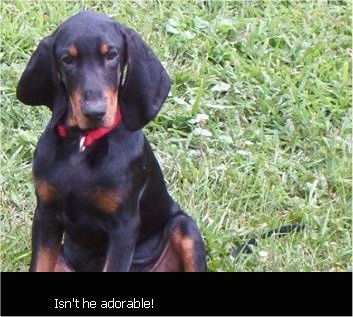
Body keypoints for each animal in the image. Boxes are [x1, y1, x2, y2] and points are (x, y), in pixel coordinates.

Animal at [17, 11, 206, 270]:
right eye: (67, 60)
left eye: (112, 55)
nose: (95, 112)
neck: (82, 143)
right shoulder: (46, 215)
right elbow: (39, 264)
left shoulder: (124, 226)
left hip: (185, 227)